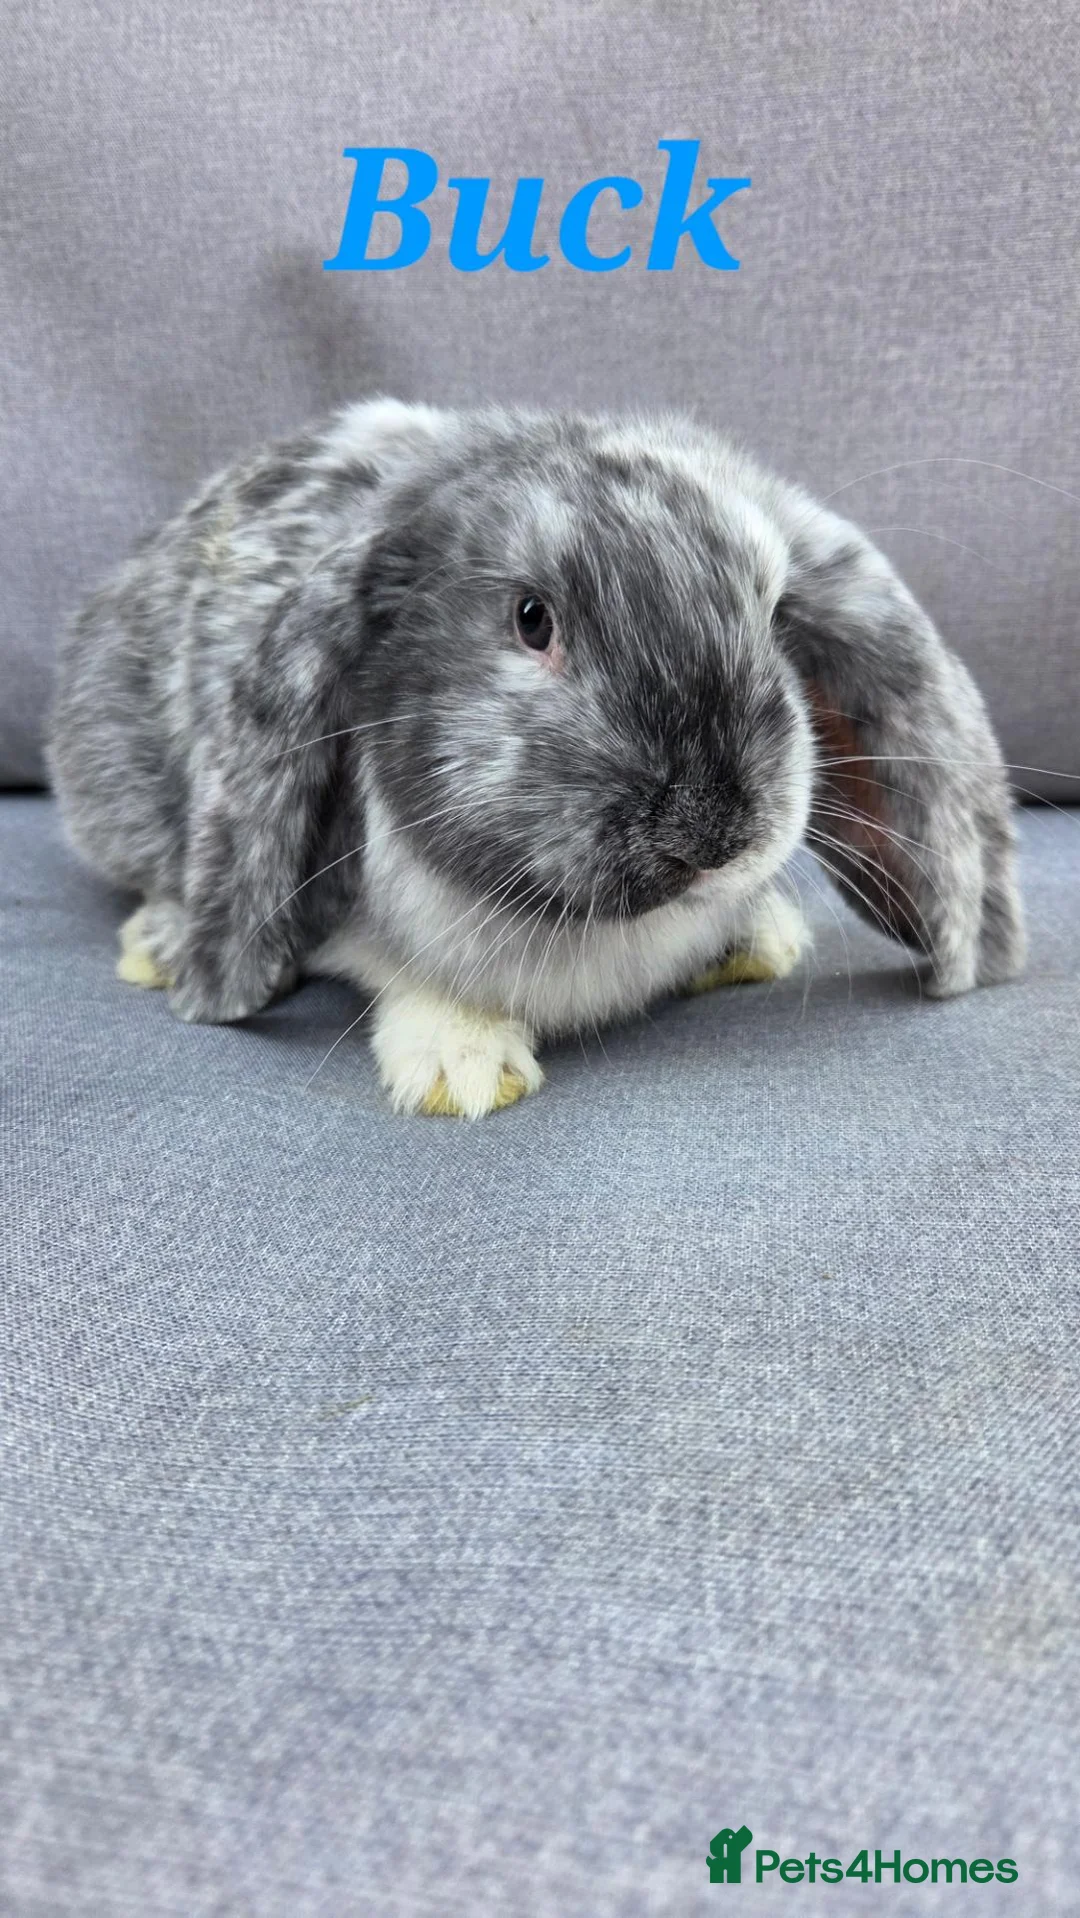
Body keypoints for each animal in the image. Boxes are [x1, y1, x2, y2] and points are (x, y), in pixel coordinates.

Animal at [48, 398, 1025, 1116]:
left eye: (772, 611)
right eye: (531, 618)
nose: (714, 832)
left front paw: (757, 940)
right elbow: (397, 970)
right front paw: (463, 1068)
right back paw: (158, 941)